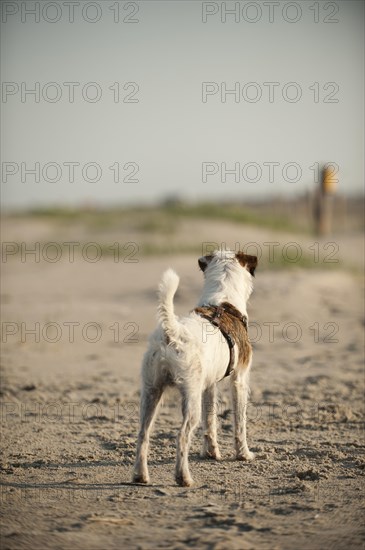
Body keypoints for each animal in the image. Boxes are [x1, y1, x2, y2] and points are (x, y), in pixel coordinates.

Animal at [132, 250, 256, 488]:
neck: (223, 301)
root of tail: (172, 333)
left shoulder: (209, 386)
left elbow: (210, 422)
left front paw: (211, 452)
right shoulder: (240, 379)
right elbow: (240, 422)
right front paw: (243, 454)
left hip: (151, 392)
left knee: (143, 433)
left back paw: (140, 476)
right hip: (190, 396)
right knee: (181, 436)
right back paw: (183, 477)